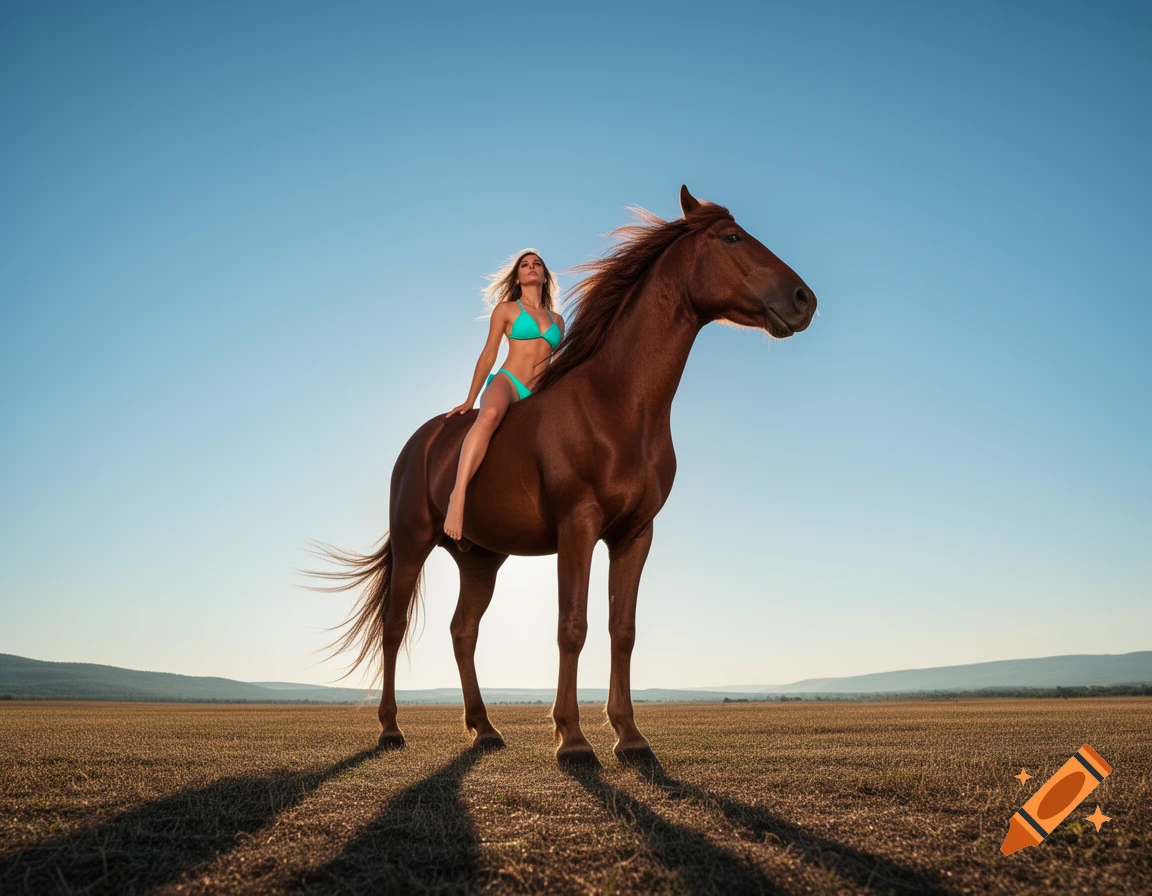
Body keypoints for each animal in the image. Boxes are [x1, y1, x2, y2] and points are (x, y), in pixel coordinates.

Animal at [310, 185, 816, 765]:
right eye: (732, 237)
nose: (804, 299)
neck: (618, 402)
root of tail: (422, 441)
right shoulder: (578, 526)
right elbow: (572, 627)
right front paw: (571, 738)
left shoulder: (635, 535)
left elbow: (623, 630)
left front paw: (630, 736)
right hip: (414, 543)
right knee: (394, 628)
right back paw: (391, 729)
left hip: (480, 560)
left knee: (463, 632)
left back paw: (484, 729)